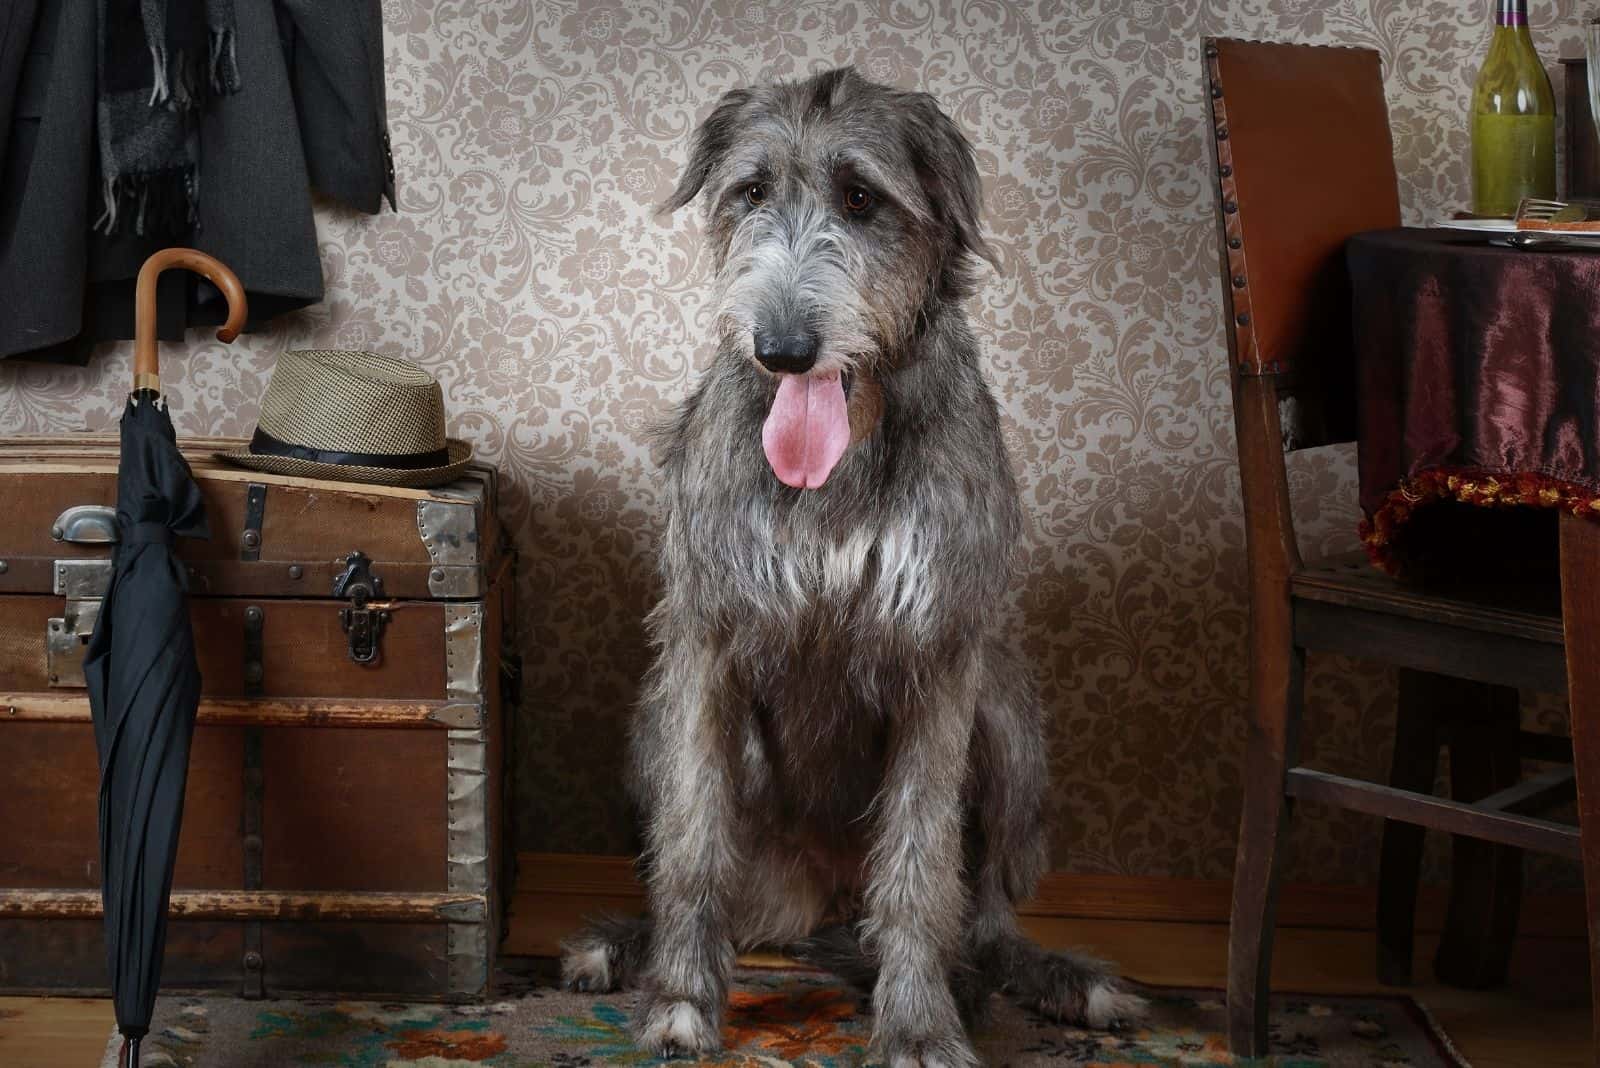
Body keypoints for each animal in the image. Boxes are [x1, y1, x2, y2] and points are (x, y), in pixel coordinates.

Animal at [560, 68, 1139, 1068]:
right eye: (752, 191)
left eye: (862, 198)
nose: (782, 348)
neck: (838, 463)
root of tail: (816, 905)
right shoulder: (704, 641)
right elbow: (692, 842)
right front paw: (680, 998)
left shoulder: (941, 656)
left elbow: (919, 867)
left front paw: (917, 1025)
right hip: (654, 717)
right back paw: (629, 946)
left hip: (1009, 718)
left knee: (981, 913)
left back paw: (1026, 979)